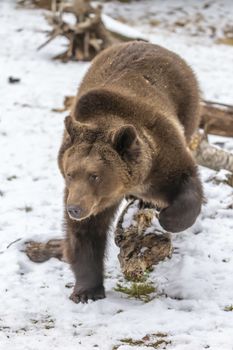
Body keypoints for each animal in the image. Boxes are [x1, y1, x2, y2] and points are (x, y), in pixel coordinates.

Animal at [58, 41, 204, 304]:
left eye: (95, 175)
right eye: (70, 173)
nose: (74, 208)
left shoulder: (162, 155)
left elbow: (186, 182)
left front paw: (167, 217)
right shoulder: (90, 199)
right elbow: (85, 234)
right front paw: (86, 291)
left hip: (187, 104)